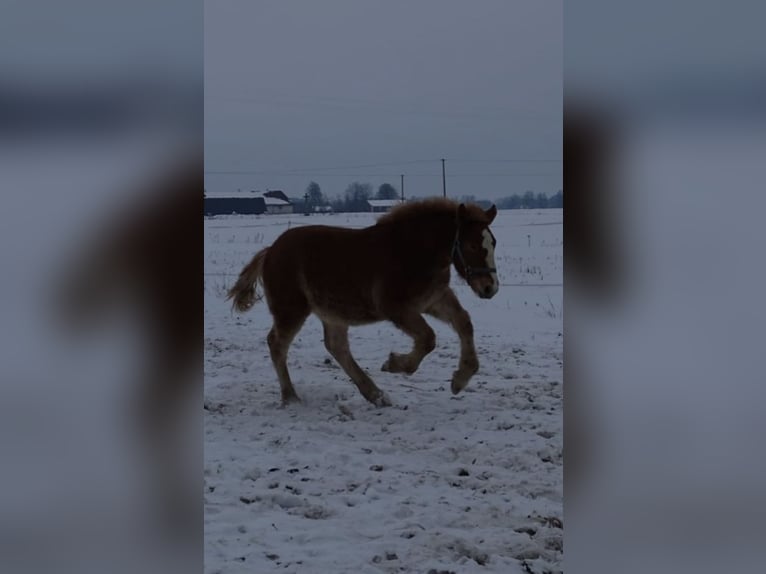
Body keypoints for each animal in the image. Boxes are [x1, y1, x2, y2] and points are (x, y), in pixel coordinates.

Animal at [227, 198, 499, 407]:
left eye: (493, 243)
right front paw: (395, 364)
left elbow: (464, 323)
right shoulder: (395, 307)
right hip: (292, 309)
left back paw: (376, 395)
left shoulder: (434, 299)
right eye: (472, 245)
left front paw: (461, 379)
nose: (490, 288)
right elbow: (428, 338)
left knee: (336, 346)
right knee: (277, 344)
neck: (414, 251)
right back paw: (291, 397)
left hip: (332, 311)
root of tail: (270, 251)